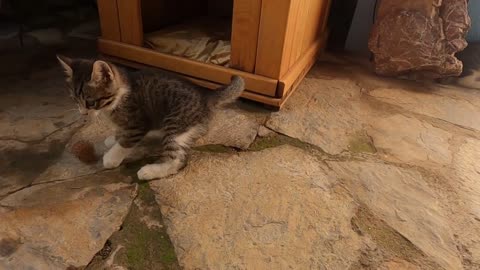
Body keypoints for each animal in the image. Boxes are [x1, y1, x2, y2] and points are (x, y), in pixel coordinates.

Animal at [56, 55, 244, 179]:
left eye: (90, 102)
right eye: (75, 100)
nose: (83, 113)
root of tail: (205, 96)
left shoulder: (138, 124)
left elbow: (125, 142)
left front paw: (111, 158)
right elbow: (121, 132)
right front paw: (113, 138)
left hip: (175, 122)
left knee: (177, 160)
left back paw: (149, 171)